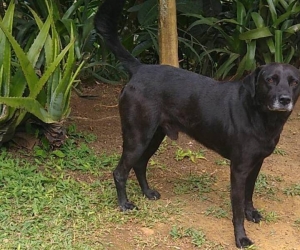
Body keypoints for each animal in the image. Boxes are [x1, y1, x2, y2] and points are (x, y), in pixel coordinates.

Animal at [95, 0, 300, 247]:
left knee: (140, 164)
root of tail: (140, 68)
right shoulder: (239, 169)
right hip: (138, 136)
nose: (285, 99)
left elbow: (249, 196)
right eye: (270, 80)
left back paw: (147, 193)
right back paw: (124, 204)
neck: (261, 117)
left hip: (154, 135)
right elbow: (237, 209)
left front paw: (251, 213)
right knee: (120, 171)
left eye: (294, 82)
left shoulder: (256, 164)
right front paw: (240, 237)